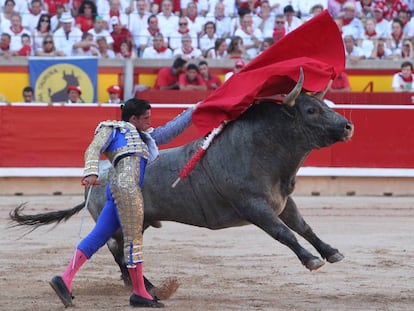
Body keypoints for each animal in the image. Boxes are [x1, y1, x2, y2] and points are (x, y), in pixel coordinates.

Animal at [8, 71, 352, 300]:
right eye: (311, 110)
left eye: (324, 105)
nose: (348, 125)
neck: (263, 150)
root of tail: (96, 179)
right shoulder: (255, 207)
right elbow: (284, 233)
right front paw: (311, 260)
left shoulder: (282, 201)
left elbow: (303, 226)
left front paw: (331, 252)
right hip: (119, 219)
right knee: (116, 248)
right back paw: (142, 287)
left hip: (139, 220)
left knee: (121, 249)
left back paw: (141, 284)